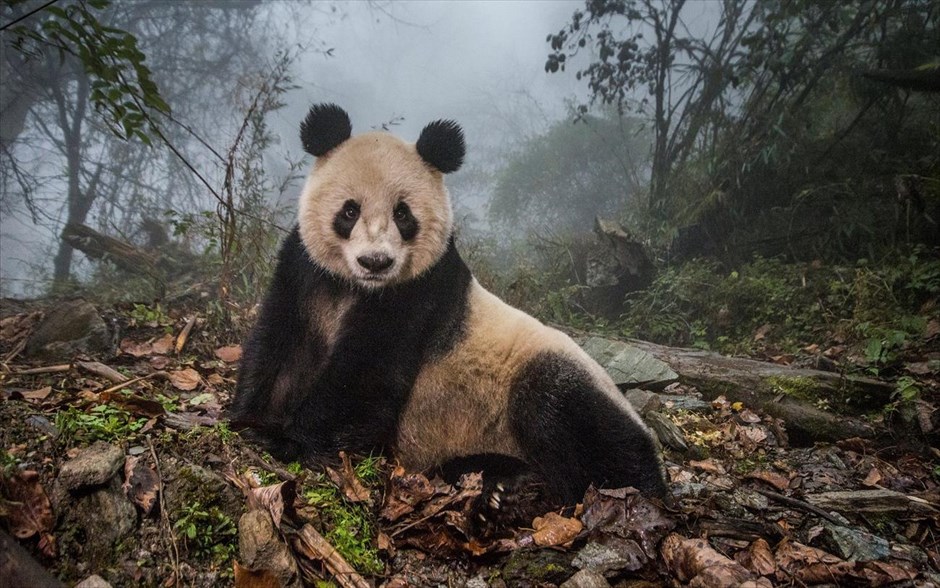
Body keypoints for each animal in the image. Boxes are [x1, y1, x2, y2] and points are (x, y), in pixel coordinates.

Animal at [230, 103, 667, 515]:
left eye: (403, 214)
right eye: (349, 210)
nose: (376, 262)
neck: (357, 288)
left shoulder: (419, 292)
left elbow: (365, 376)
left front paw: (288, 439)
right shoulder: (304, 271)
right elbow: (279, 344)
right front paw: (250, 420)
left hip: (550, 373)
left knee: (575, 419)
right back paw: (499, 479)